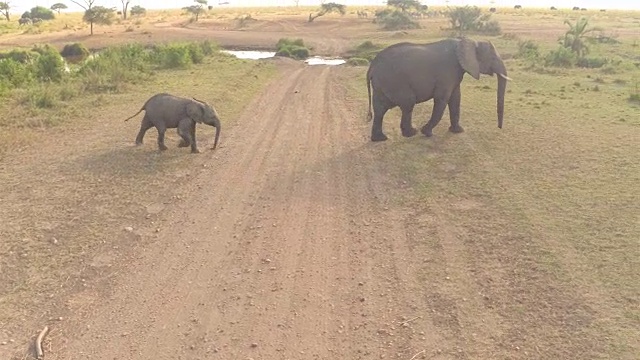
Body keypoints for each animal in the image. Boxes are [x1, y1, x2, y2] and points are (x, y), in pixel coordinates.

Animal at [364, 37, 510, 141]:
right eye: (492, 58)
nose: (499, 127)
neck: (469, 41)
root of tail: (372, 66)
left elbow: (456, 99)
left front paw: (458, 131)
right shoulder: (447, 72)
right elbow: (442, 99)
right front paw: (426, 132)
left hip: (381, 84)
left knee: (380, 109)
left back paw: (380, 139)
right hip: (395, 82)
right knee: (408, 103)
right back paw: (411, 133)